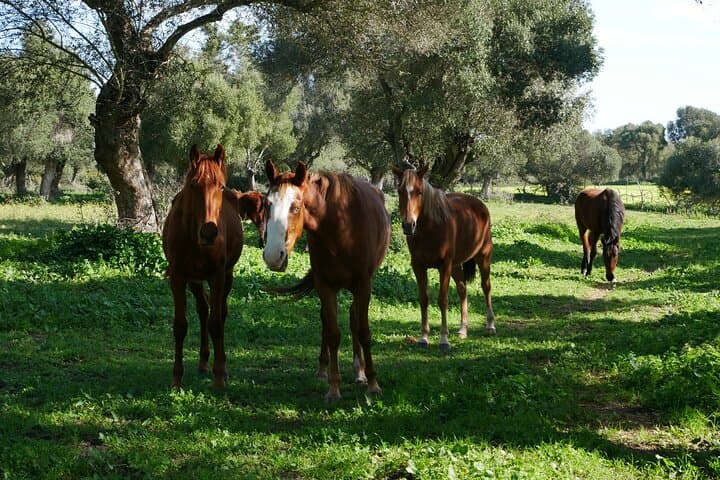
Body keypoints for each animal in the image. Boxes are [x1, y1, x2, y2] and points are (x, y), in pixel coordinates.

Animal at [162, 144, 243, 389]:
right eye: (194, 185)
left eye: (220, 185)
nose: (209, 233)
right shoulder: (178, 277)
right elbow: (180, 326)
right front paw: (176, 377)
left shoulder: (217, 275)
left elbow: (216, 324)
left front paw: (219, 377)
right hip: (195, 281)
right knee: (203, 309)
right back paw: (203, 362)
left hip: (226, 277)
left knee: (219, 314)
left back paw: (221, 366)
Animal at [262, 159, 391, 402]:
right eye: (267, 205)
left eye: (295, 207)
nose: (273, 256)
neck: (341, 226)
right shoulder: (325, 285)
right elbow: (332, 333)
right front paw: (333, 387)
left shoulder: (364, 284)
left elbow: (364, 332)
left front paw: (373, 384)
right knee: (329, 320)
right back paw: (323, 369)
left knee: (354, 318)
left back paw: (360, 372)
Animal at [391, 164, 495, 352]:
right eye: (400, 191)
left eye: (419, 192)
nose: (408, 225)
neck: (431, 229)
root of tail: (480, 206)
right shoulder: (418, 266)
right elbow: (424, 299)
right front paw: (423, 337)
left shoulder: (444, 266)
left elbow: (443, 300)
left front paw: (444, 339)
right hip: (456, 265)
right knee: (462, 290)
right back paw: (462, 330)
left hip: (483, 257)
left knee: (486, 287)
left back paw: (490, 325)